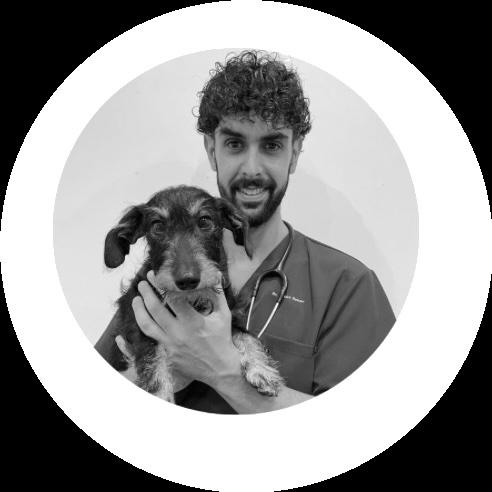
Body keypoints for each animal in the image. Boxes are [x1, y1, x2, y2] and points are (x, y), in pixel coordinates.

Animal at [104, 185, 285, 403]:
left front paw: (262, 369)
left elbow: (249, 336)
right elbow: (152, 357)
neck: (192, 299)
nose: (187, 280)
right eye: (157, 226)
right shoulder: (137, 321)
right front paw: (160, 394)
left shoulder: (231, 318)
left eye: (205, 221)